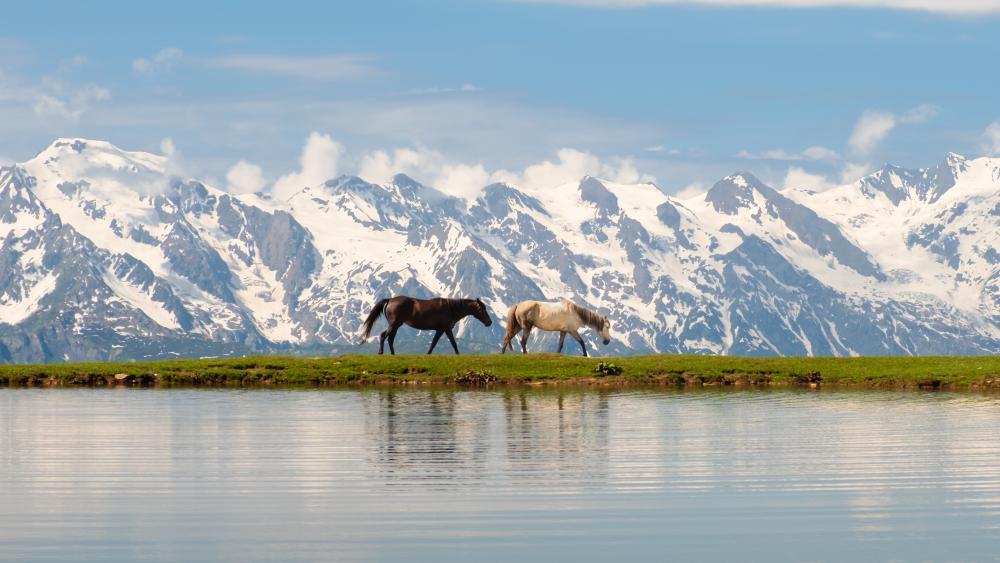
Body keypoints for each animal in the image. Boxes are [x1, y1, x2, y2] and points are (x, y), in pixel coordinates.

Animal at [359, 296, 493, 355]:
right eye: (482, 309)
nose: (489, 322)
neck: (451, 308)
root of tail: (390, 300)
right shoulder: (444, 329)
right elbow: (440, 343)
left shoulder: (444, 329)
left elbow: (449, 343)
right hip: (394, 324)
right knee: (383, 336)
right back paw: (381, 352)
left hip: (396, 325)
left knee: (390, 339)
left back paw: (393, 354)